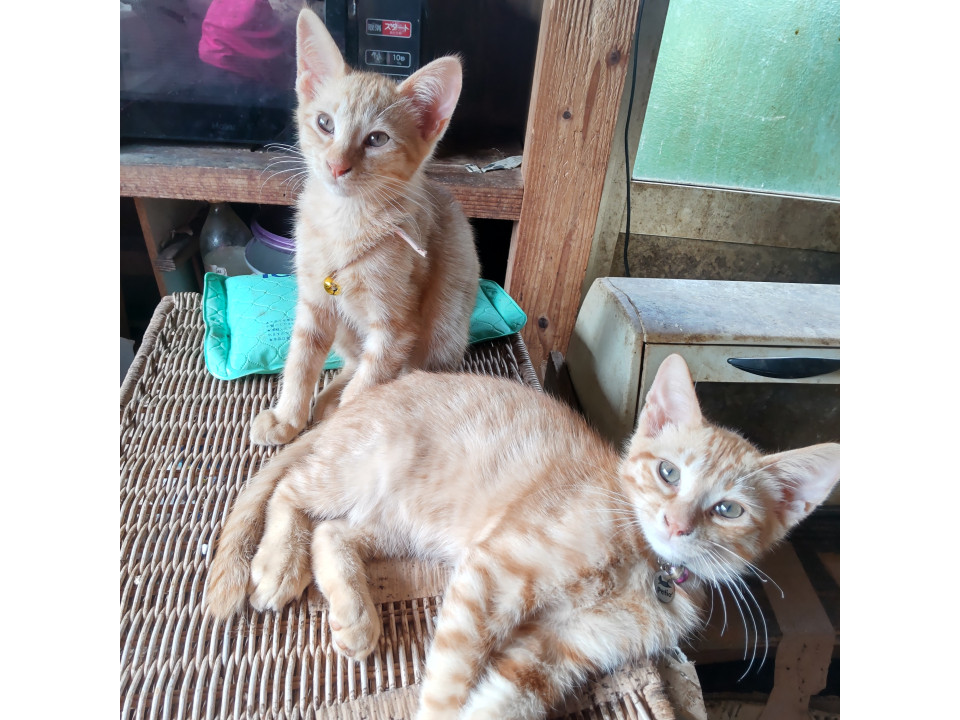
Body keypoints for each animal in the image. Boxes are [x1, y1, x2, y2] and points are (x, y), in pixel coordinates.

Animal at [205, 353, 840, 719]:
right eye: (668, 473)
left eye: (728, 509)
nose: (677, 525)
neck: (638, 563)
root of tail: (353, 406)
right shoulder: (494, 573)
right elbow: (451, 680)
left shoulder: (557, 651)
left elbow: (501, 702)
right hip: (366, 468)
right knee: (291, 493)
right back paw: (277, 565)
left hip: (401, 520)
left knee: (336, 533)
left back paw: (355, 616)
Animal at [251, 7, 480, 446]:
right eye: (325, 123)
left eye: (376, 139)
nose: (336, 165)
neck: (345, 222)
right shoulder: (315, 302)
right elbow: (301, 360)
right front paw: (288, 416)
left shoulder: (396, 328)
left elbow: (369, 387)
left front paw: (335, 433)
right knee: (351, 363)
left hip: (444, 324)